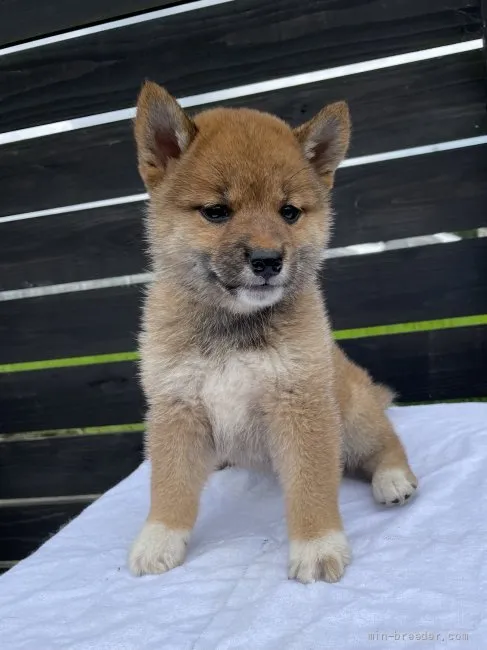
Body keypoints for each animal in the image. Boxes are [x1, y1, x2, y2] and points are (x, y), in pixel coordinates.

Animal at [127, 81, 418, 584]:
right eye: (217, 211)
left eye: (289, 212)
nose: (267, 260)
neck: (234, 325)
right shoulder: (176, 407)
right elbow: (170, 482)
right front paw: (159, 538)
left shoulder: (300, 402)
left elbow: (311, 484)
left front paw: (317, 544)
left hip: (354, 417)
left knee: (384, 444)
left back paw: (394, 478)